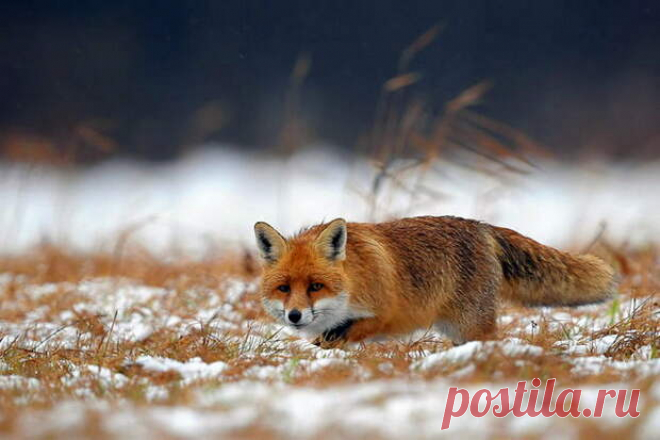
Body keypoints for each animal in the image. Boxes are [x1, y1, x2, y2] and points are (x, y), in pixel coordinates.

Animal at [254, 217, 620, 348]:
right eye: (284, 288)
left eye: (316, 286)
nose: (295, 316)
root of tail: (481, 226)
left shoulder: (382, 316)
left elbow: (337, 338)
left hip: (470, 326)